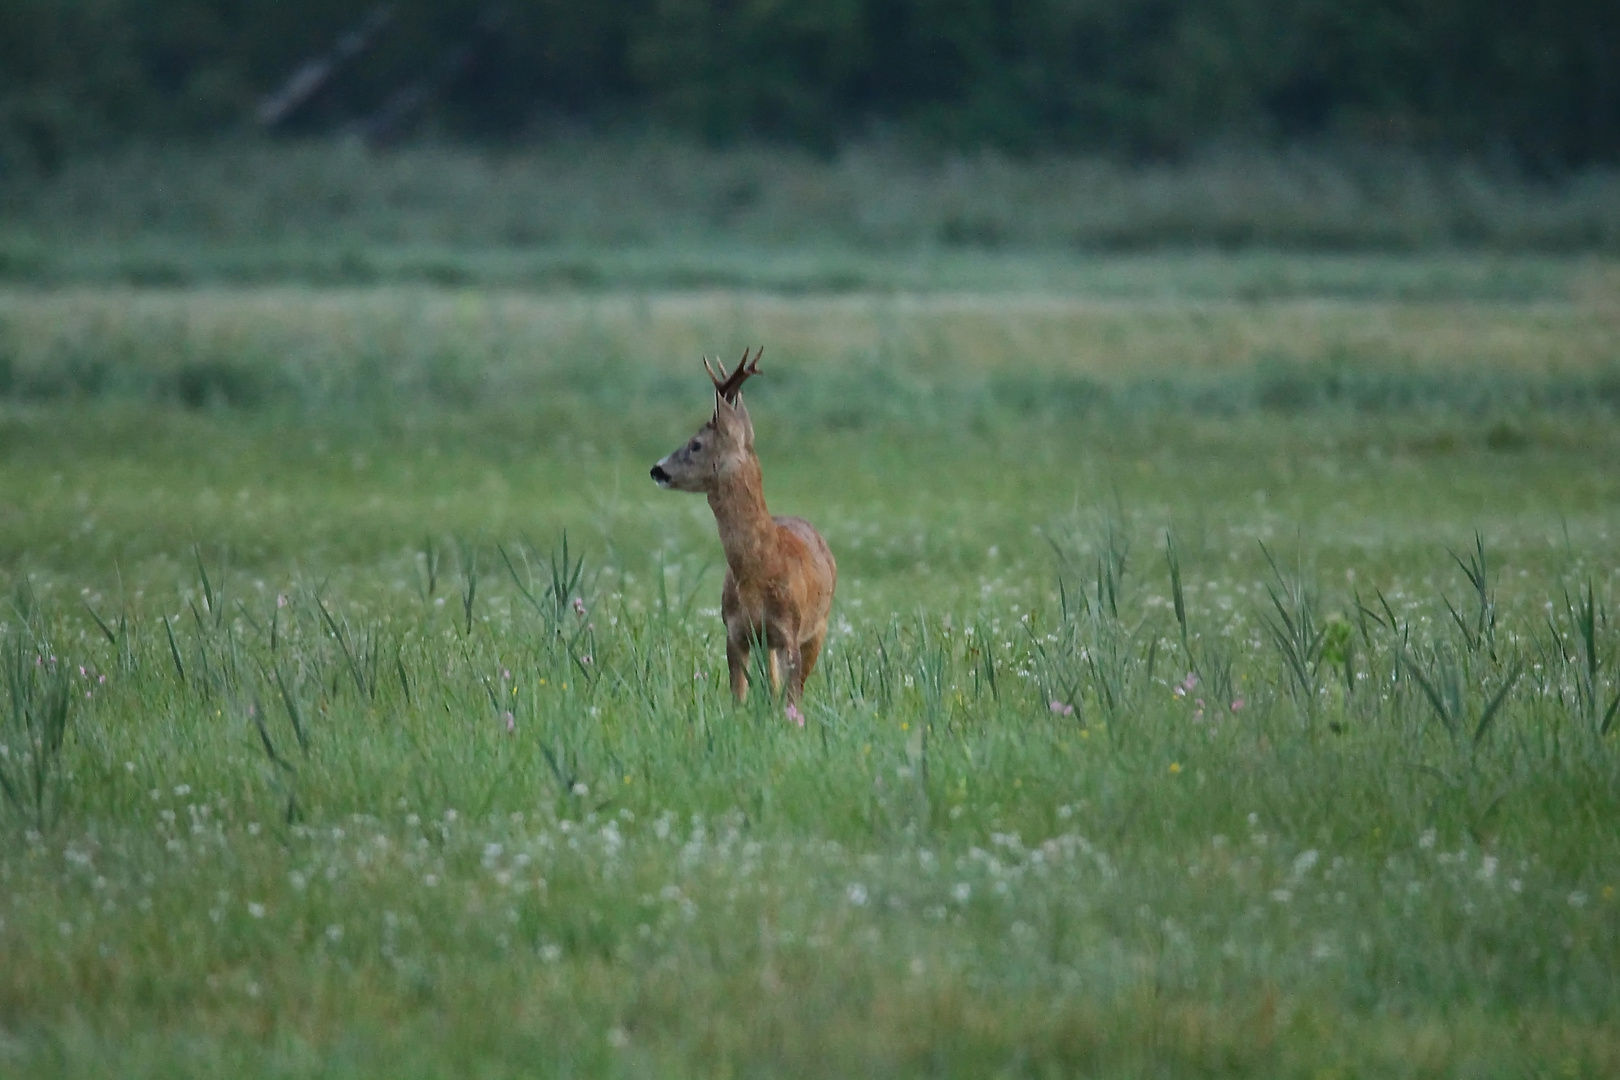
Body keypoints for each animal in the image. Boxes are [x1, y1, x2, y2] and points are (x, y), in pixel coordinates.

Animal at [651, 344, 842, 702]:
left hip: (818, 627)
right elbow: (738, 697)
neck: (761, 568)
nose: (656, 470)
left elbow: (790, 698)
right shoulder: (736, 632)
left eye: (695, 443)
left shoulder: (789, 632)